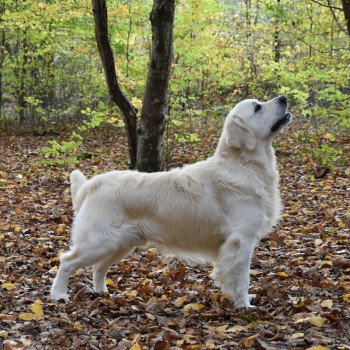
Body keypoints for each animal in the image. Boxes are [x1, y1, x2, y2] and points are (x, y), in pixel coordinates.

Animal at [50, 95, 290, 306]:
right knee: (67, 261)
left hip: (120, 243)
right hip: (98, 241)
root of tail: (92, 184)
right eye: (257, 107)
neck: (243, 164)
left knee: (98, 268)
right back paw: (58, 295)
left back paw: (103, 293)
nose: (284, 98)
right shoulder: (240, 241)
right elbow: (241, 279)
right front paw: (243, 306)